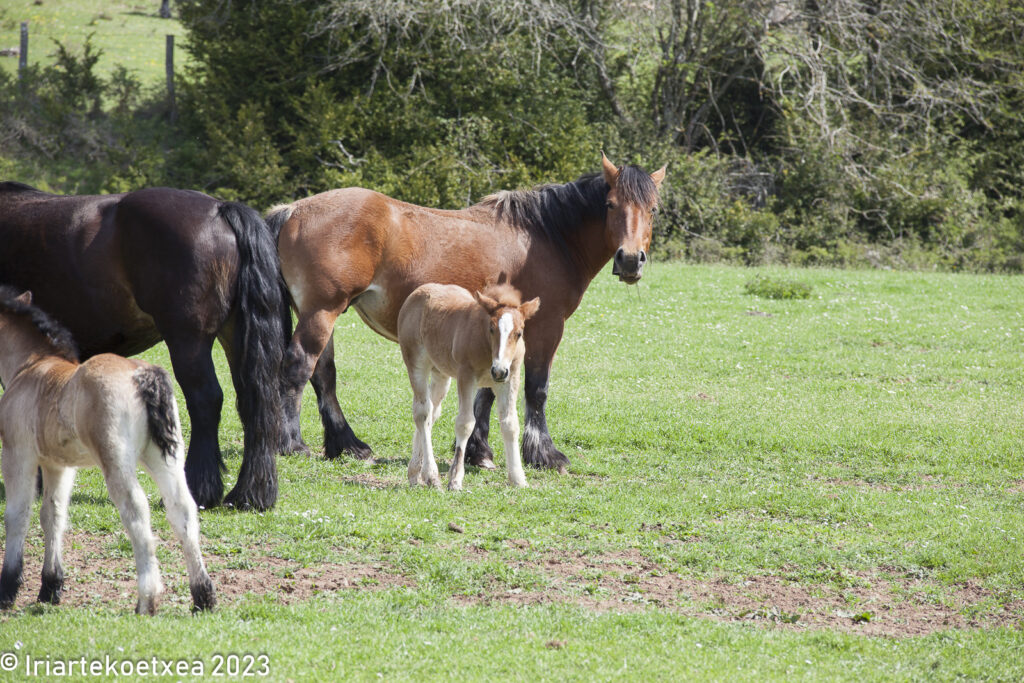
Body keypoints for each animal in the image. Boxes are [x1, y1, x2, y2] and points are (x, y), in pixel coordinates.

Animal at [0, 184, 286, 509]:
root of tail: (219, 209)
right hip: (235, 336)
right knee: (254, 400)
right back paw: (251, 493)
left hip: (188, 340)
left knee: (206, 401)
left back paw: (200, 489)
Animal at [0, 286, 216, 614]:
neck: (30, 366)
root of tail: (143, 375)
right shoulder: (57, 464)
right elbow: (53, 514)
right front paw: (50, 587)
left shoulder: (18, 454)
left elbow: (18, 515)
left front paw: (8, 588)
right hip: (164, 456)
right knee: (183, 509)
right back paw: (203, 595)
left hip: (116, 460)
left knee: (136, 511)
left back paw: (146, 600)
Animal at [272, 154, 667, 473]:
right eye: (611, 204)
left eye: (653, 209)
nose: (630, 260)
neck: (548, 237)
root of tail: (293, 210)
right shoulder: (546, 327)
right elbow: (537, 389)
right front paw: (545, 455)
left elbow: (488, 391)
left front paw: (479, 452)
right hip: (322, 311)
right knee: (298, 366)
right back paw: (292, 444)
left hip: (320, 313)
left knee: (324, 375)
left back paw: (348, 446)